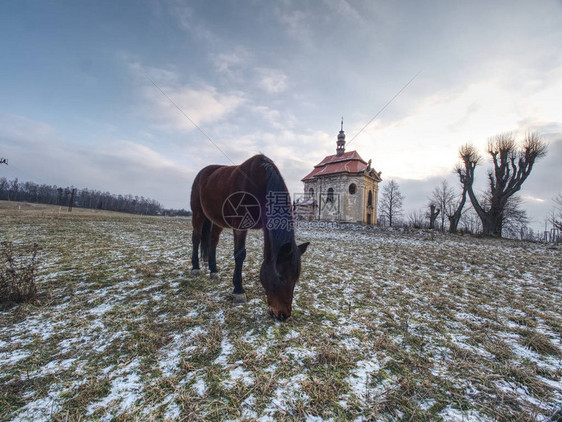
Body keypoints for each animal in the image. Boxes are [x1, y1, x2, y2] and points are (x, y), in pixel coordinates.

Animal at [190, 153, 308, 322]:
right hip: (198, 213)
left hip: (217, 220)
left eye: (296, 278)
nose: (284, 315)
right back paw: (195, 268)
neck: (258, 184)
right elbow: (240, 255)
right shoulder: (240, 226)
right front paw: (238, 291)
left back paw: (214, 271)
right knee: (196, 238)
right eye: (280, 276)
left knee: (213, 242)